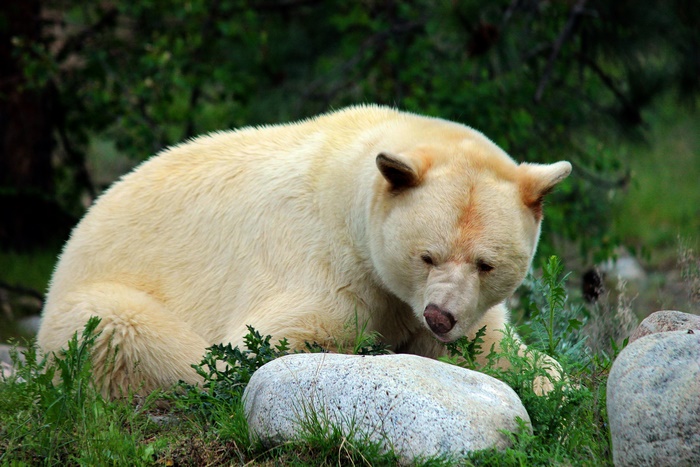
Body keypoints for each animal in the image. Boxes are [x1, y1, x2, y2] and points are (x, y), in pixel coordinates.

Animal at [37, 105, 572, 398]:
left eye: (486, 263)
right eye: (427, 255)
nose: (440, 317)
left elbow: (497, 346)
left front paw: (553, 382)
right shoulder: (316, 260)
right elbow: (268, 343)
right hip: (93, 305)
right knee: (120, 328)